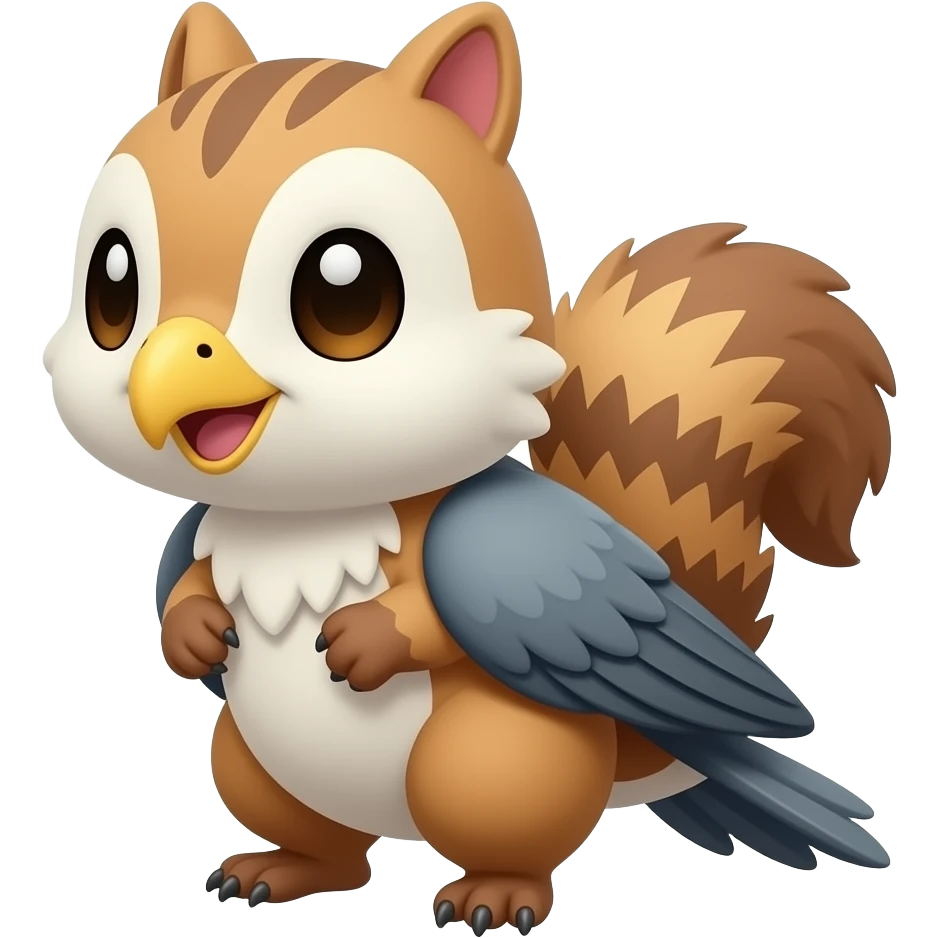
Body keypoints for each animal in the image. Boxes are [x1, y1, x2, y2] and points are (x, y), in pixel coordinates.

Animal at [43, 1, 895, 932]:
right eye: (112, 286)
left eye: (346, 291)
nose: (161, 375)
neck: (303, 521)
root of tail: (641, 751)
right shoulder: (195, 537)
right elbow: (183, 577)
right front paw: (194, 630)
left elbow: (434, 618)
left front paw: (371, 638)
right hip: (249, 760)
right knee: (332, 849)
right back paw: (281, 869)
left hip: (489, 759)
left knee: (505, 823)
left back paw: (496, 893)